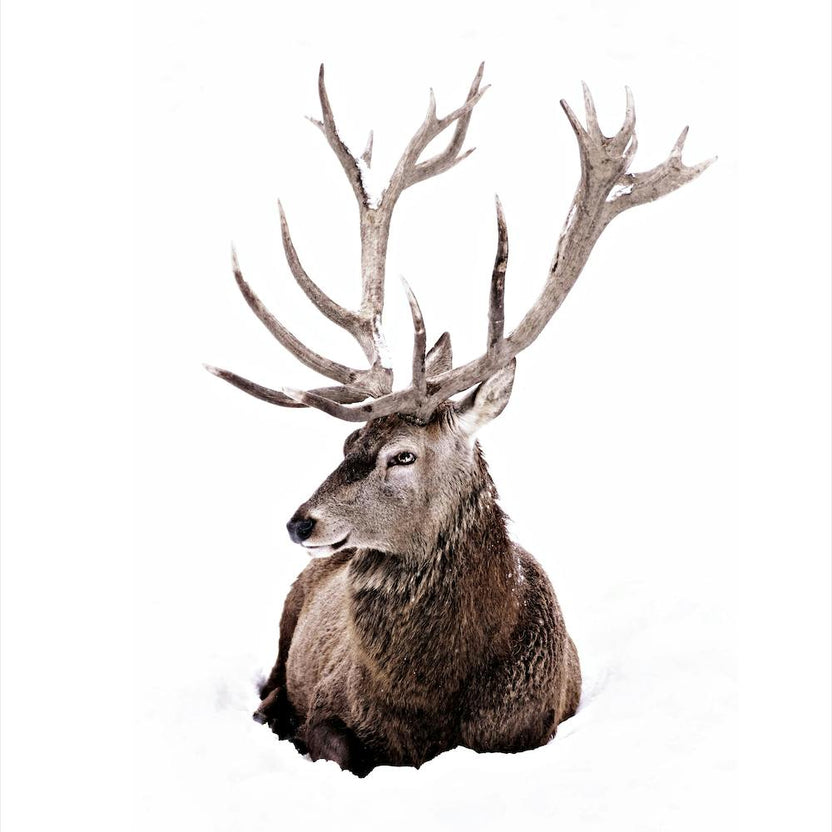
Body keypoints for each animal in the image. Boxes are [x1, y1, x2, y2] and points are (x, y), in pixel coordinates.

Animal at [206, 64, 713, 776]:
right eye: (348, 437)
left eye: (403, 454)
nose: (300, 521)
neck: (429, 703)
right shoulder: (330, 702)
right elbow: (330, 741)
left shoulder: (532, 725)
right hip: (287, 615)